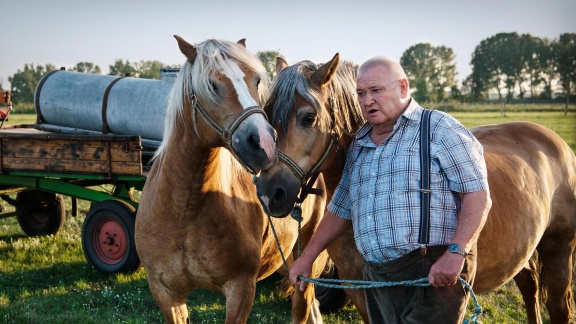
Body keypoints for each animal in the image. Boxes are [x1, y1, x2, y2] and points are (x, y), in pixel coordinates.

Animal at [136, 36, 330, 324]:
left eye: (257, 81)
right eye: (212, 85)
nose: (265, 142)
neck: (185, 209)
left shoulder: (240, 289)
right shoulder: (166, 294)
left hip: (304, 268)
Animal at [256, 54, 576, 322]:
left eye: (308, 118)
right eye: (268, 115)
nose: (269, 193)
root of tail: (553, 140)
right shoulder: (363, 295)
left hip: (559, 249)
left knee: (557, 305)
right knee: (530, 287)